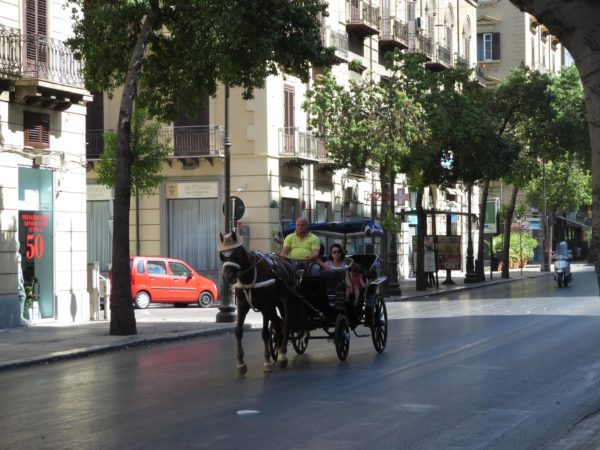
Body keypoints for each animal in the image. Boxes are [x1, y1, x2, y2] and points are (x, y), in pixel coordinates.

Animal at [218, 230, 298, 374]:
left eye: (235, 253)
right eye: (222, 255)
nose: (228, 277)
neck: (249, 275)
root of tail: (288, 262)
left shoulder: (265, 306)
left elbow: (265, 333)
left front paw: (267, 362)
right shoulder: (242, 306)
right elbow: (238, 331)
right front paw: (241, 364)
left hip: (286, 300)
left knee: (286, 323)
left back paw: (282, 354)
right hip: (274, 304)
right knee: (278, 322)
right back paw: (278, 350)